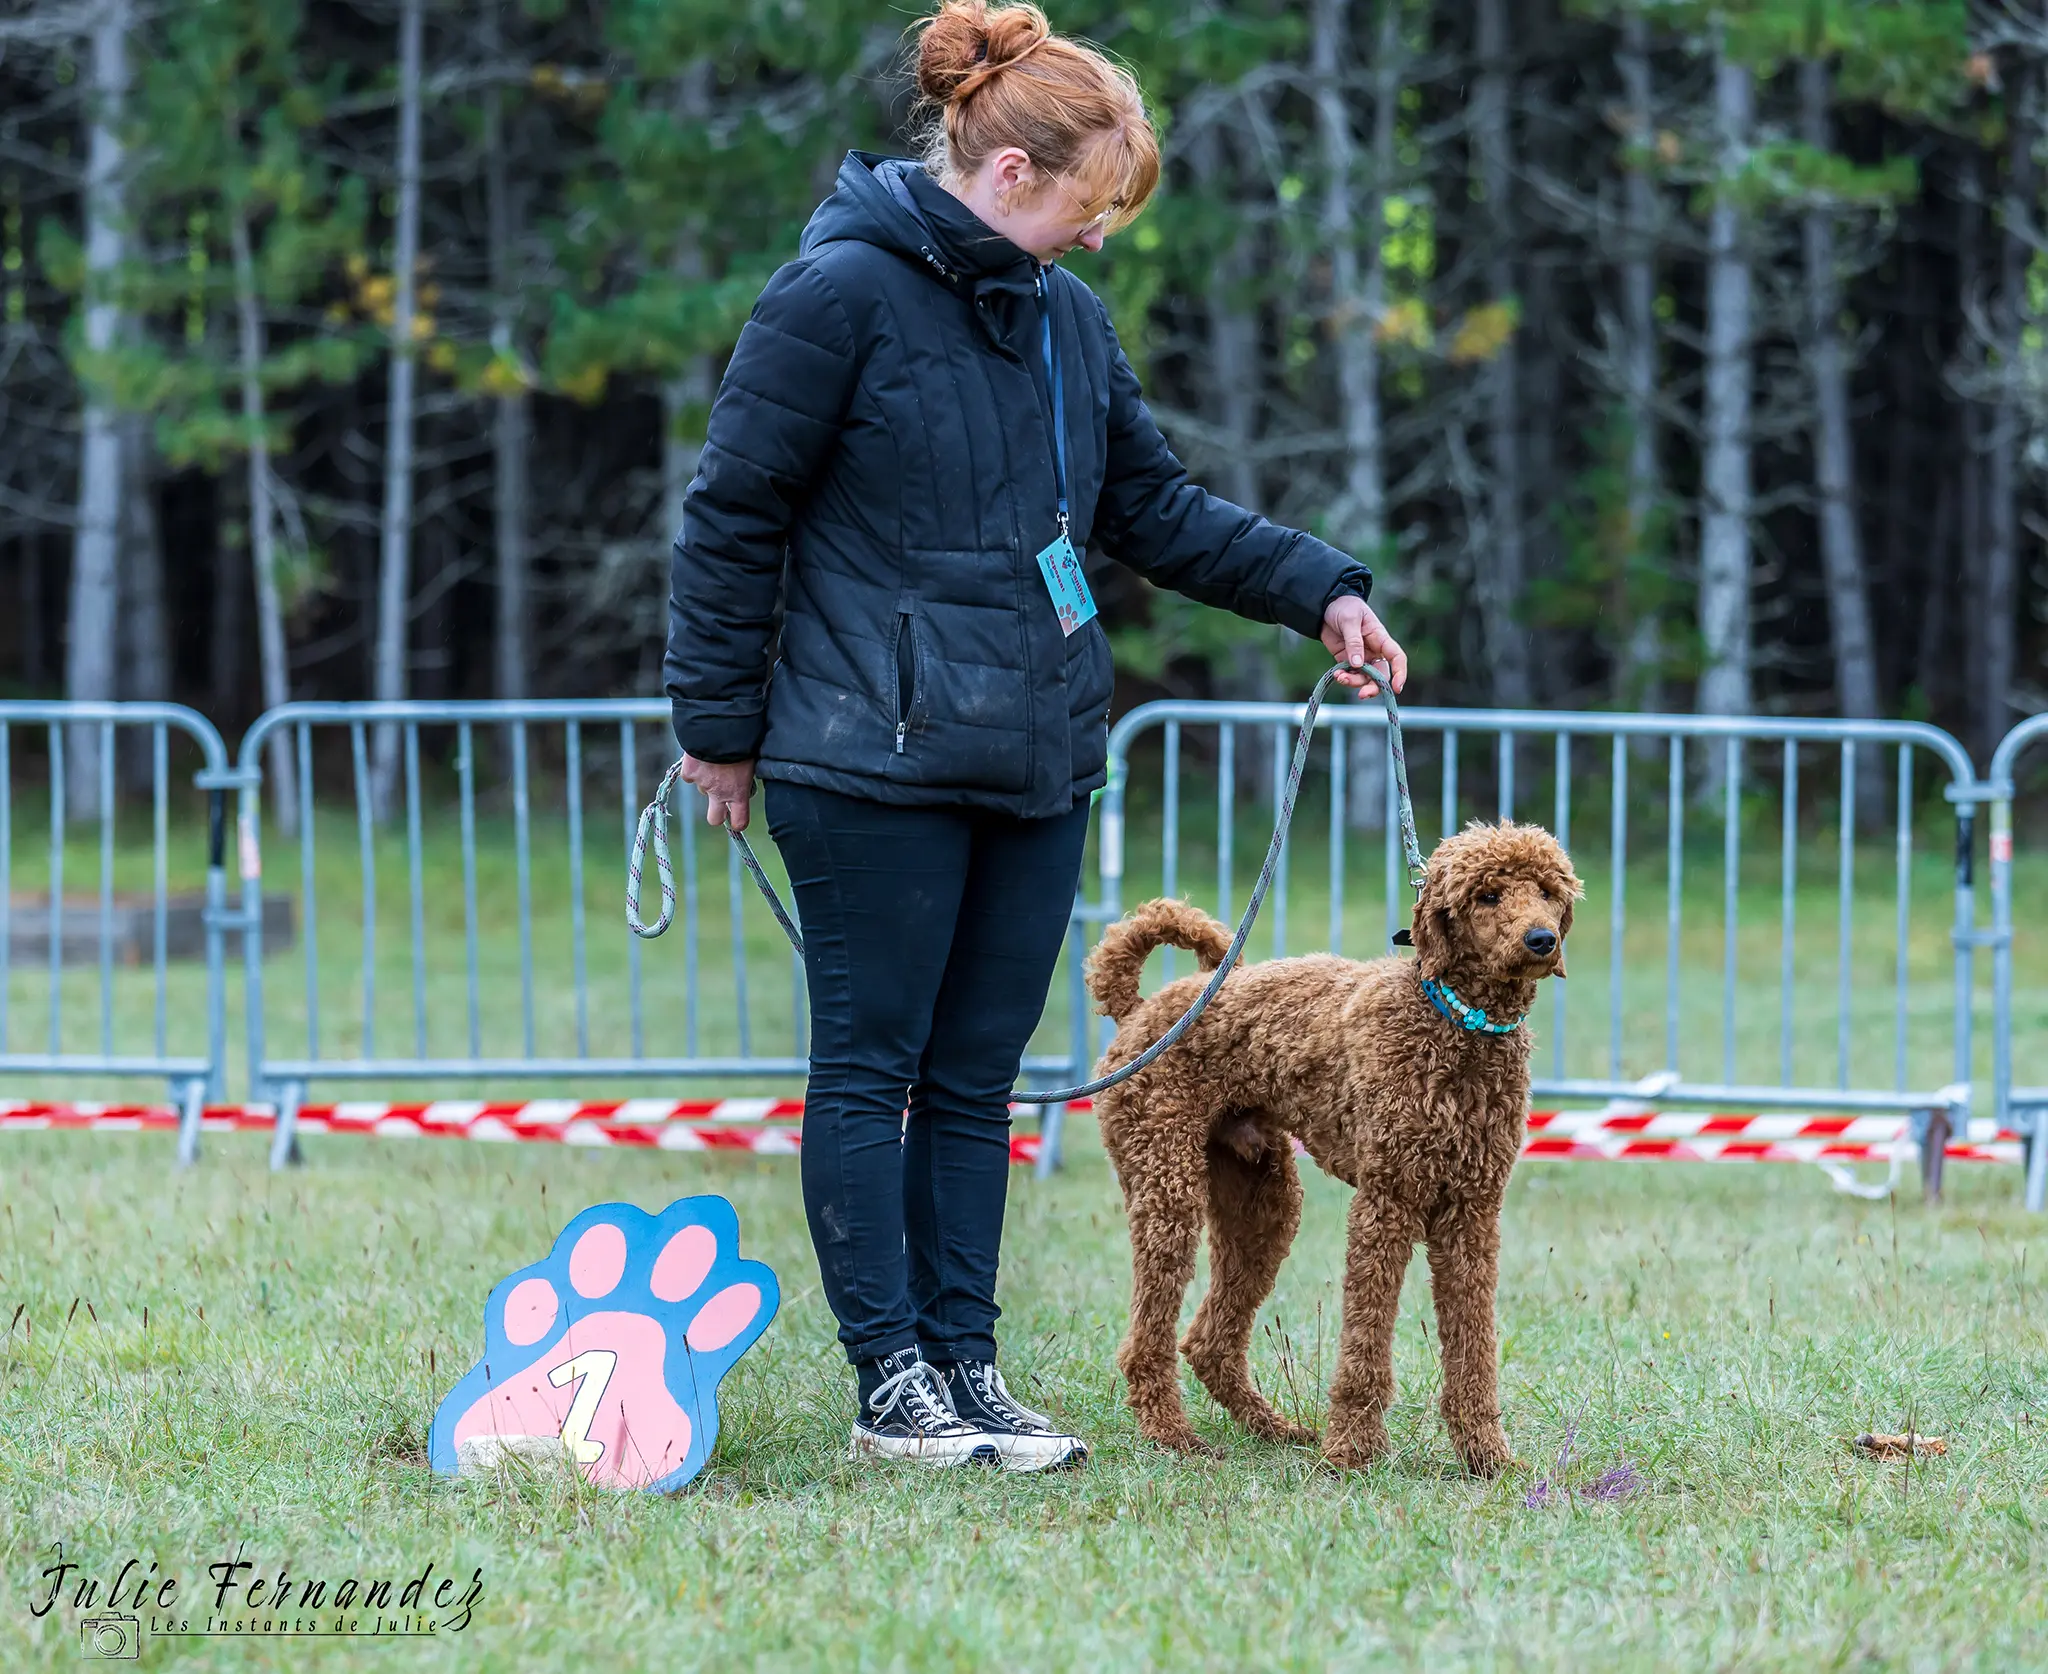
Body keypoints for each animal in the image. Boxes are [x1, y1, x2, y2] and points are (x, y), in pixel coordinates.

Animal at [1097, 815, 1572, 1467]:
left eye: (1548, 891)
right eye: (1488, 895)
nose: (1541, 940)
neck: (1453, 1021)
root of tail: (1140, 1010)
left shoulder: (1472, 1211)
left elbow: (1473, 1341)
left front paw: (1485, 1454)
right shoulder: (1386, 1202)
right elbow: (1366, 1341)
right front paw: (1353, 1449)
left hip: (1262, 1201)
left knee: (1209, 1340)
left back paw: (1273, 1429)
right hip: (1167, 1186)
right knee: (1148, 1336)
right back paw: (1173, 1435)